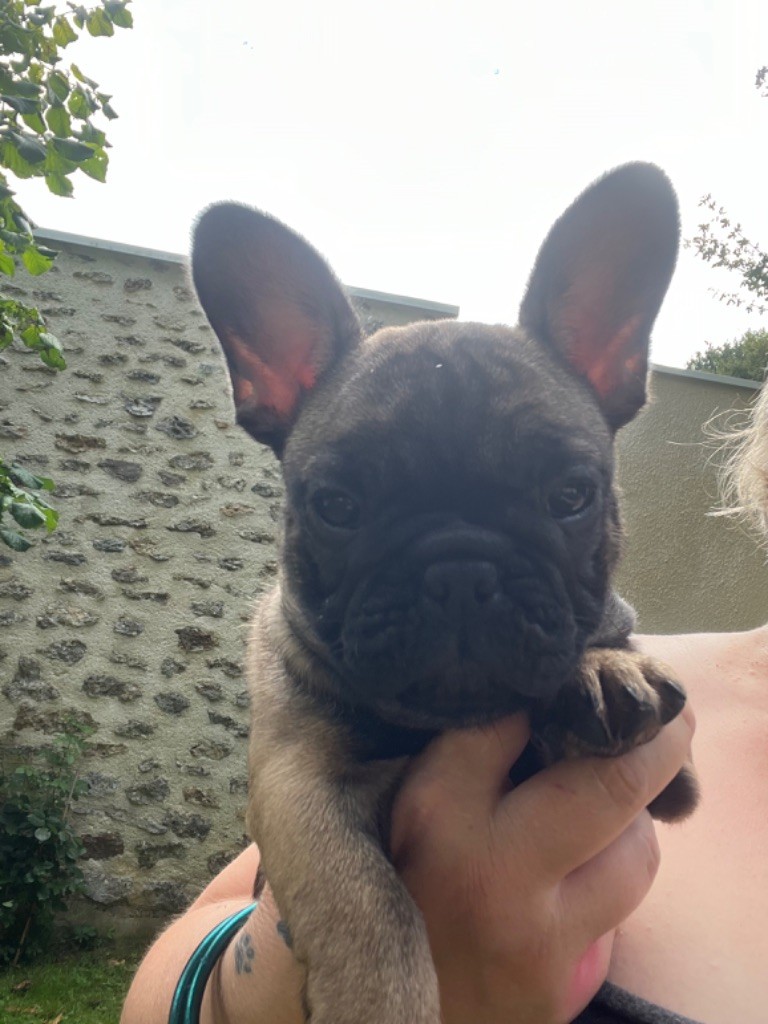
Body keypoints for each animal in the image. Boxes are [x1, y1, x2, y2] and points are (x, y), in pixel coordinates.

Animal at [191, 163, 698, 1024]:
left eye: (570, 494)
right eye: (337, 505)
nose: (461, 569)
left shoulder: (669, 782)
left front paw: (602, 670)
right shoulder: (295, 784)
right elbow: (363, 896)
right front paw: (376, 1003)